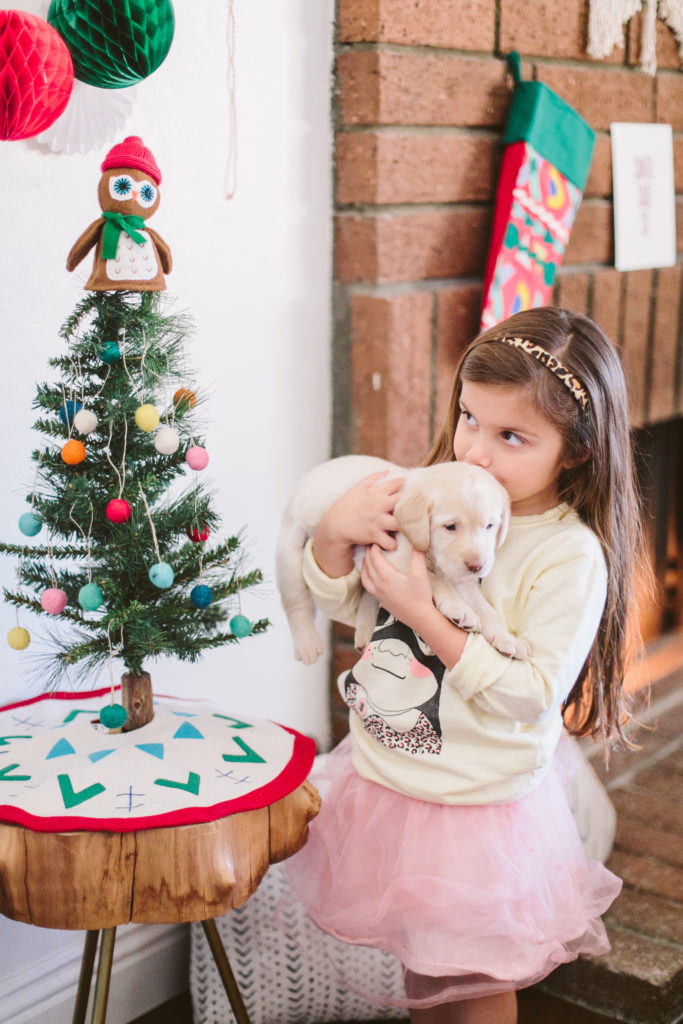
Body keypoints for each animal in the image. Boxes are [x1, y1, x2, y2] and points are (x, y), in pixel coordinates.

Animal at [276, 455, 529, 664]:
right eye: (450, 527)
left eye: (490, 526)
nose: (477, 566)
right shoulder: (392, 558)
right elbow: (435, 579)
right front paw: (459, 608)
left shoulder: (461, 578)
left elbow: (486, 609)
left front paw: (507, 639)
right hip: (290, 552)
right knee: (295, 603)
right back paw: (307, 643)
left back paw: (364, 631)